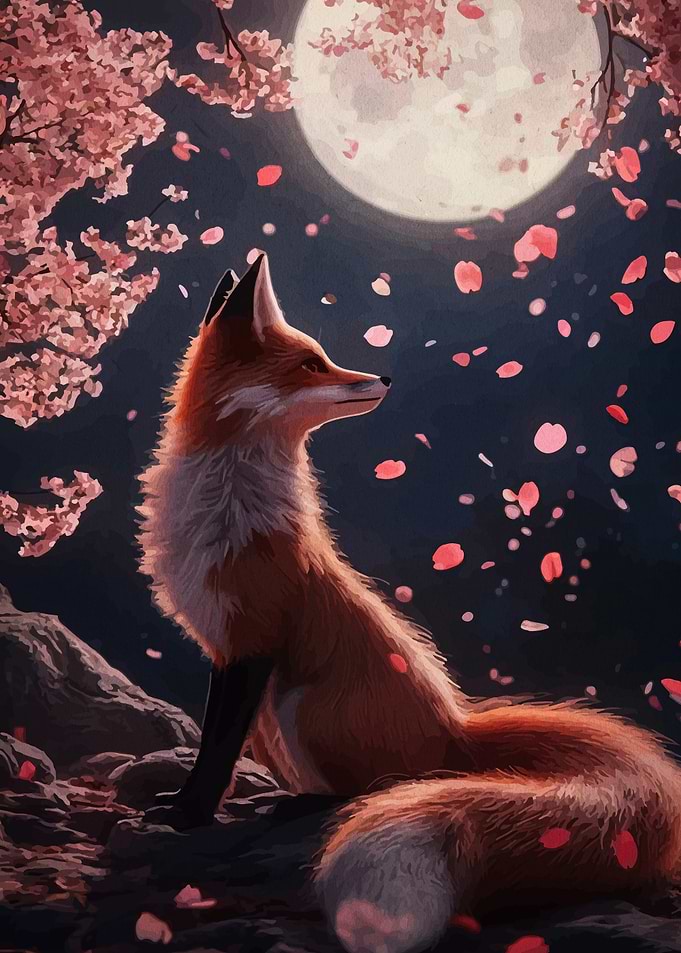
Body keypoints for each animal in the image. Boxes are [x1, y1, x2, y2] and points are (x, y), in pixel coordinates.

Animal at [136, 252, 681, 953]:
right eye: (312, 364)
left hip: (298, 704)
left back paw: (300, 805)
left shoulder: (250, 642)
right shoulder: (227, 648)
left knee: (378, 787)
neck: (229, 506)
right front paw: (187, 809)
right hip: (278, 716)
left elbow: (215, 752)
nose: (385, 376)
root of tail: (459, 731)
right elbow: (215, 746)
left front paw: (188, 815)